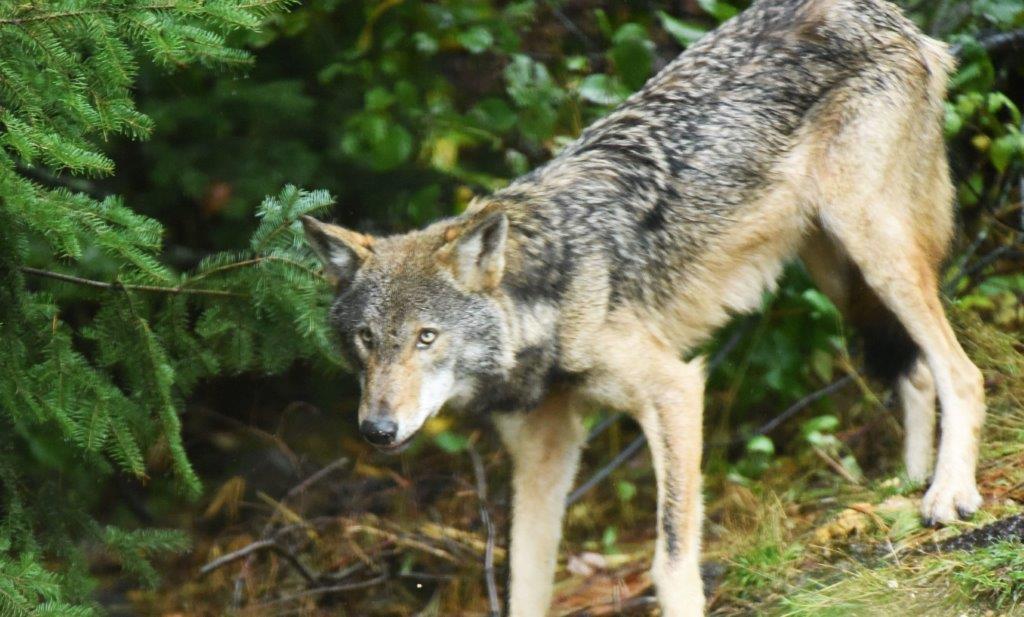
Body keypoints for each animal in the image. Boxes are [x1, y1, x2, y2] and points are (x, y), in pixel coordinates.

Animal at [302, 0, 984, 614]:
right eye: (366, 339)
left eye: (426, 337)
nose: (376, 430)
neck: (550, 296)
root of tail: (889, 16)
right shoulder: (543, 448)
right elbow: (526, 583)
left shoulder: (674, 391)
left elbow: (671, 557)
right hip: (839, 271)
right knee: (916, 370)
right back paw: (903, 484)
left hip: (872, 246)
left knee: (962, 371)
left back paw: (947, 494)